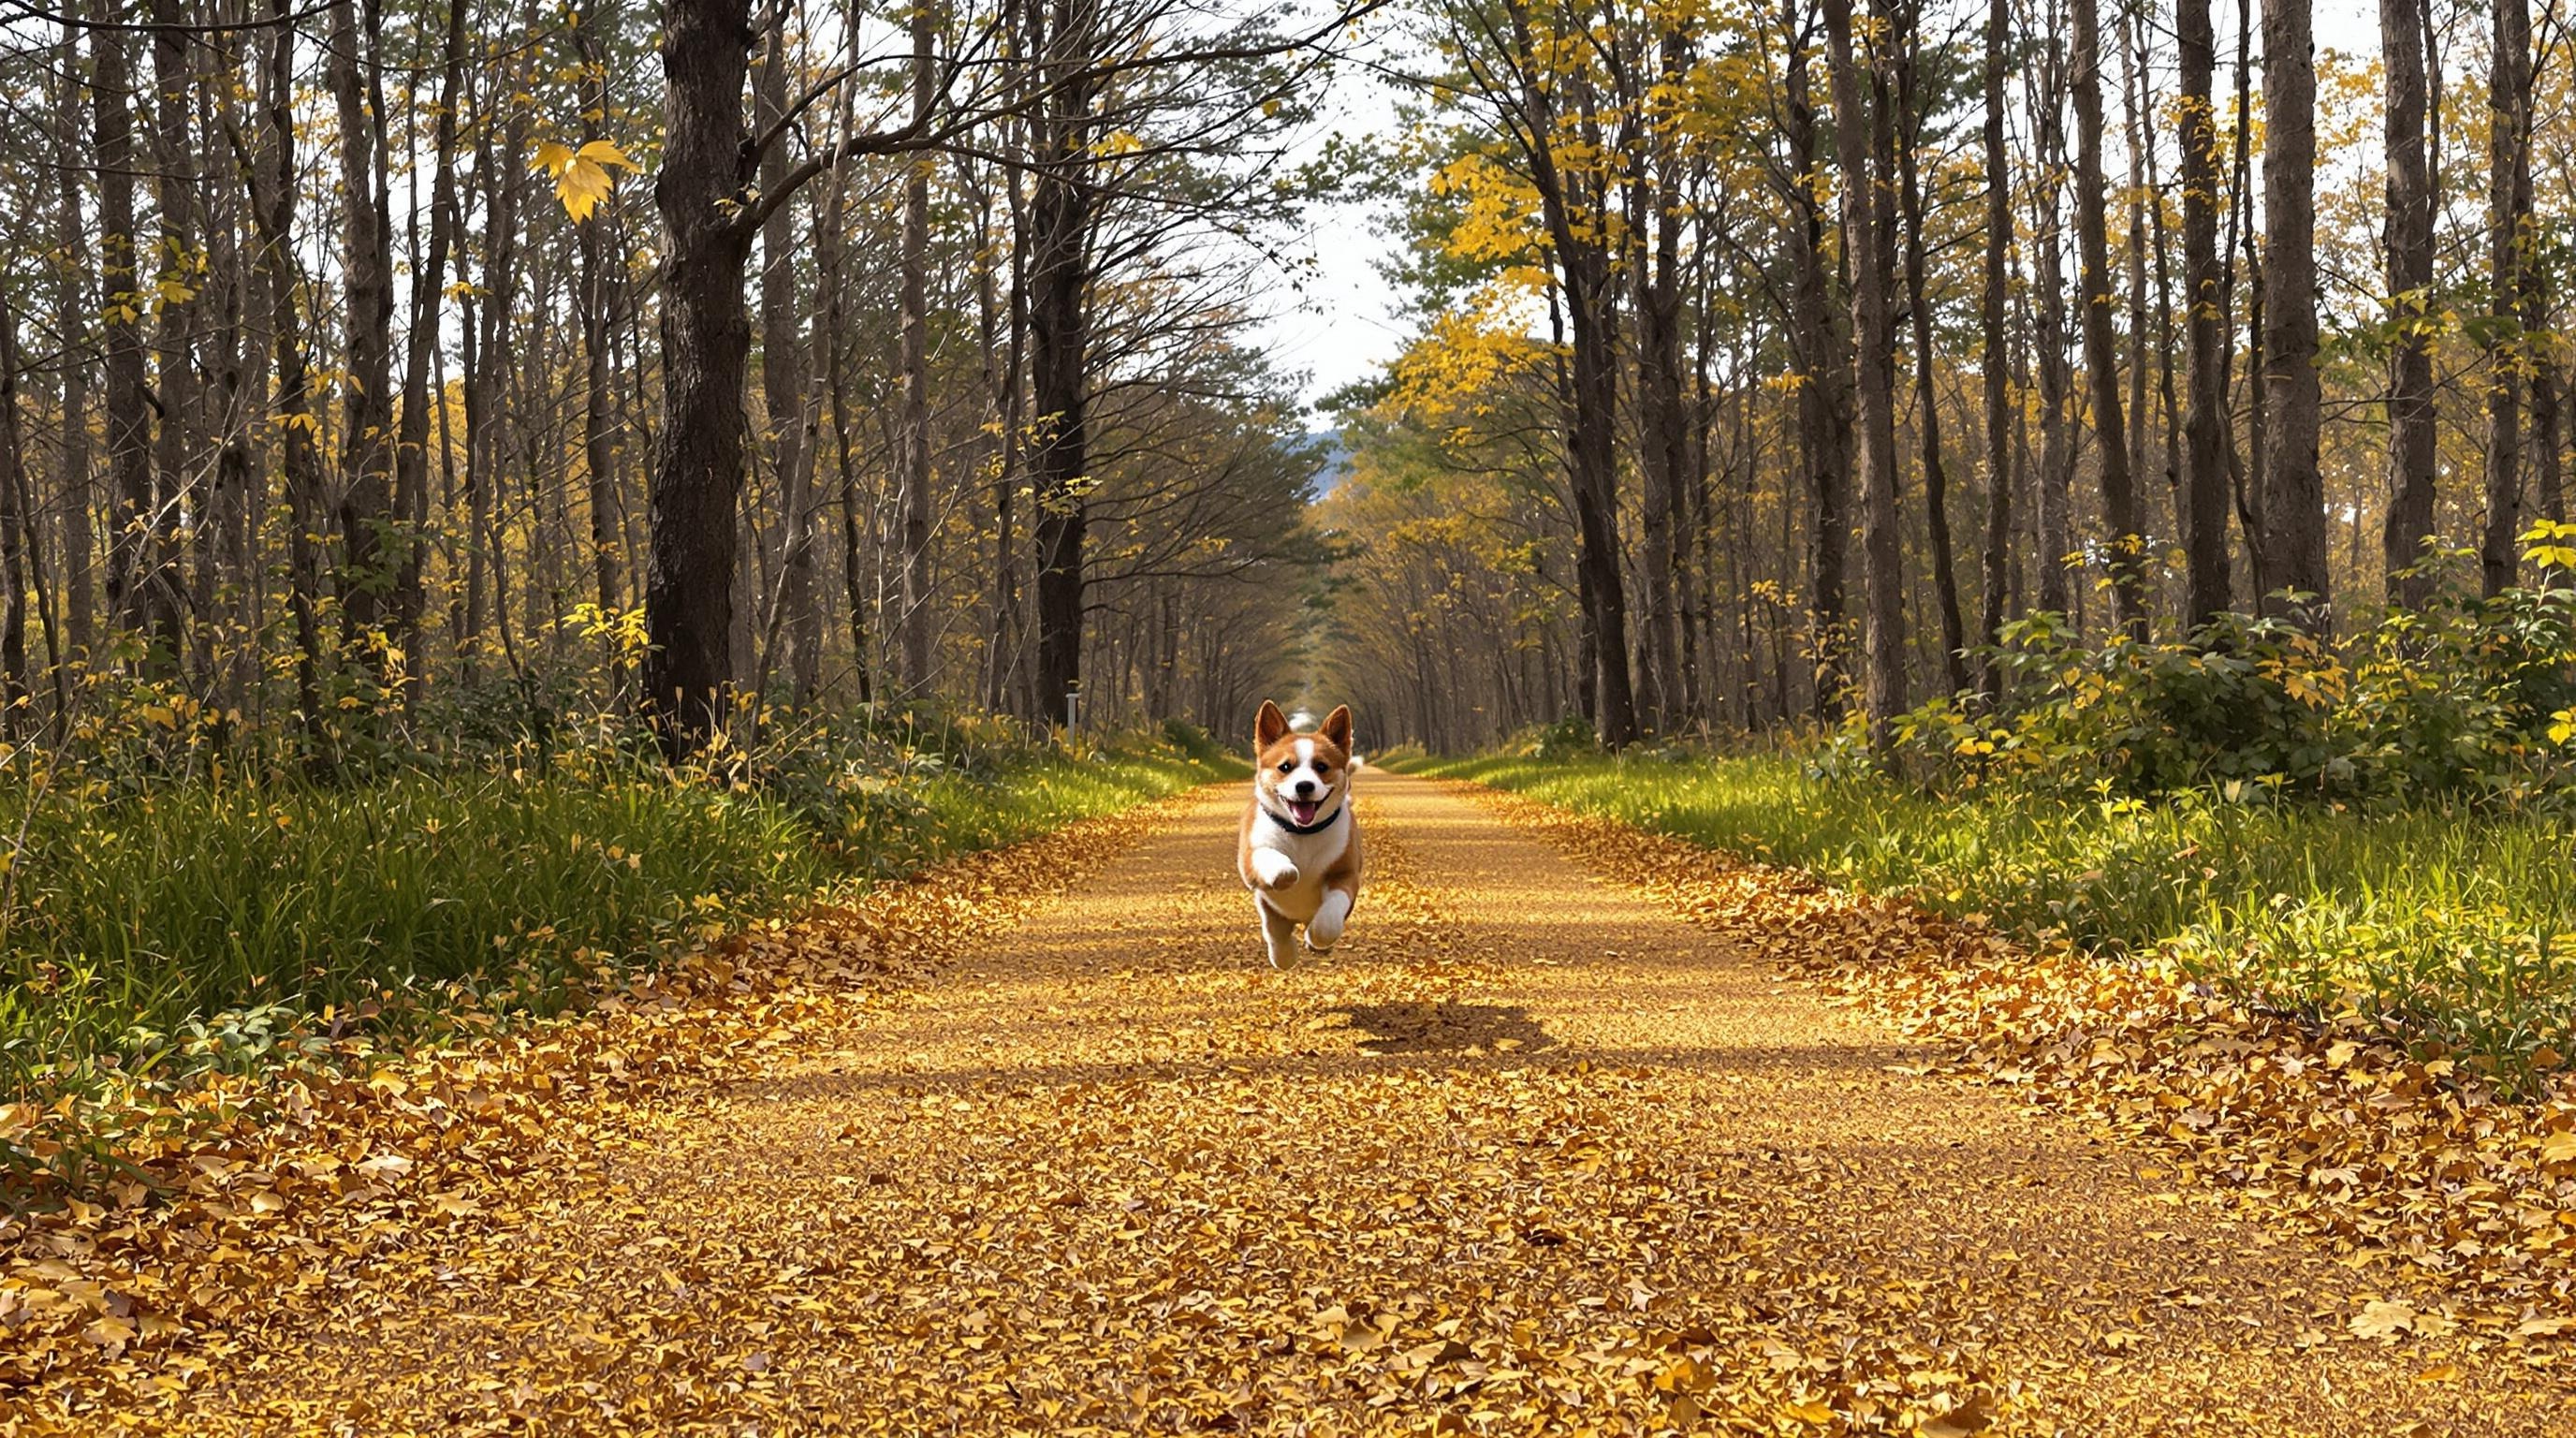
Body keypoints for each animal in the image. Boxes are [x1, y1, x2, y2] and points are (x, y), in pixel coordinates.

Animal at [1231, 700, 1360, 969]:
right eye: (1285, 767)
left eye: (1321, 766)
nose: (1304, 786)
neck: (1303, 834)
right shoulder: (1250, 858)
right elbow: (1272, 859)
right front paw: (1285, 871)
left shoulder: (1345, 874)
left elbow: (1328, 921)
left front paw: (1316, 938)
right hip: (1268, 908)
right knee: (1275, 930)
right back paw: (1284, 955)